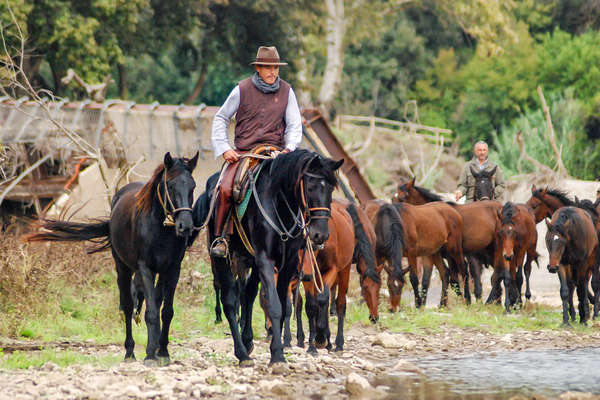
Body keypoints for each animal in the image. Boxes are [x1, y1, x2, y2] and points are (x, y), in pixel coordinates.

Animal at [25, 153, 199, 366]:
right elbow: (150, 313)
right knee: (127, 306)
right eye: (171, 185)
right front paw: (150, 355)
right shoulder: (146, 268)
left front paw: (163, 352)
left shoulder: (173, 269)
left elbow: (166, 312)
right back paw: (130, 352)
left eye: (192, 186)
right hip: (122, 268)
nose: (185, 226)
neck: (160, 228)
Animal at [192, 150, 342, 366]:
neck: (279, 203)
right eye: (310, 187)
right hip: (223, 259)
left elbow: (282, 306)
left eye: (330, 188)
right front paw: (278, 355)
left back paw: (247, 341)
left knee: (248, 293)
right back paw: (242, 353)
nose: (320, 235)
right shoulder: (265, 260)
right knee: (230, 301)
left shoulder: (288, 264)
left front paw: (276, 350)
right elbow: (273, 305)